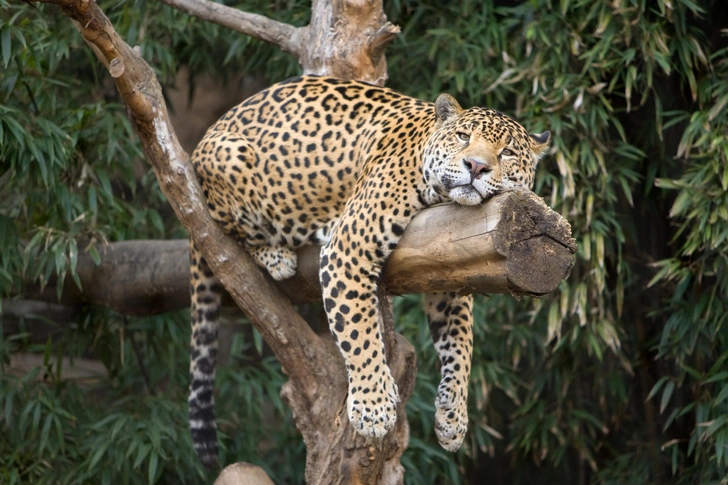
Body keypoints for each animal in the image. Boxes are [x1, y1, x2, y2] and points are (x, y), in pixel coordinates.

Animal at [185, 75, 548, 466]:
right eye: (464, 136)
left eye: (507, 152)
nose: (476, 166)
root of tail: (204, 139)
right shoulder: (348, 248)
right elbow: (358, 330)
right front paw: (373, 408)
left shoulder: (446, 270)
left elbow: (460, 345)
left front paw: (453, 417)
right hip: (231, 160)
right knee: (233, 225)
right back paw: (275, 254)